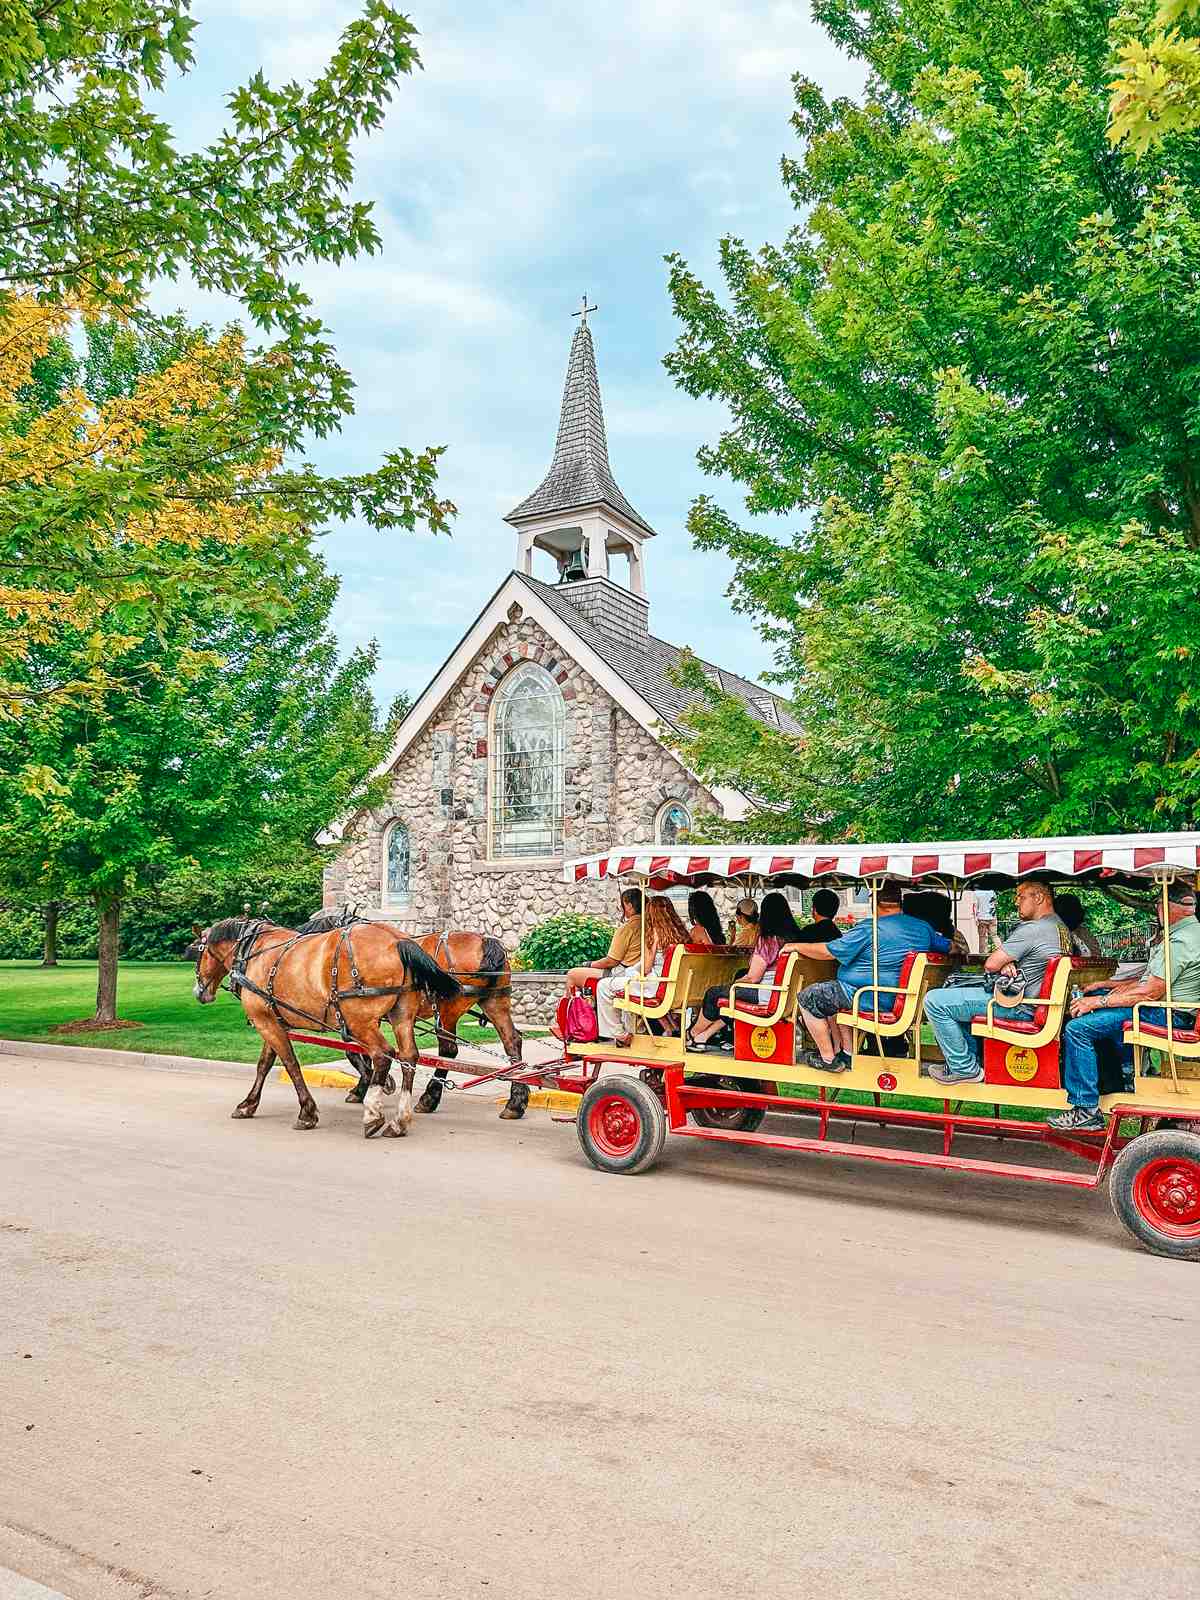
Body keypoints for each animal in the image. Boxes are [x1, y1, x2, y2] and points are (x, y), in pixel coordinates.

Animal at [192, 915, 460, 1139]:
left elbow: (290, 1063)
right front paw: (248, 1104)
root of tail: (397, 940)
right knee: (408, 1057)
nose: (199, 991)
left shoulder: (264, 1021)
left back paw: (373, 1114)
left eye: (199, 952)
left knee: (383, 1055)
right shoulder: (274, 1020)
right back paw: (399, 1121)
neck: (253, 953)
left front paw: (307, 1112)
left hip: (359, 1020)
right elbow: (264, 1065)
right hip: (400, 1015)